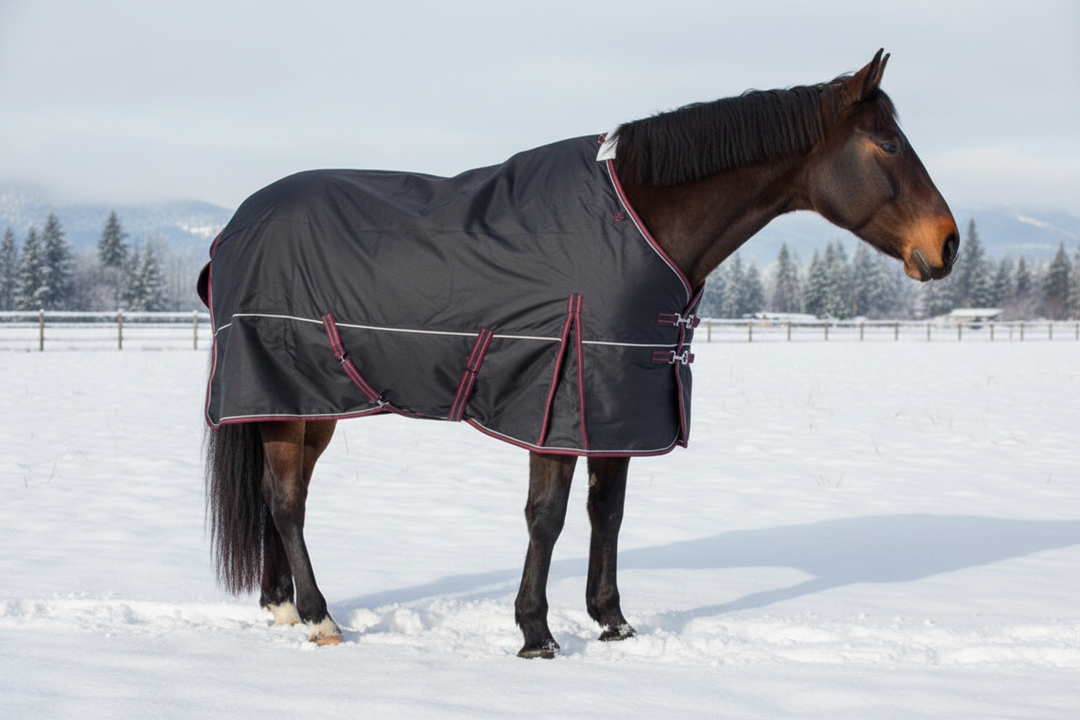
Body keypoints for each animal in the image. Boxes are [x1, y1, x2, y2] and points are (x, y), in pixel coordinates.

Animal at [199, 50, 958, 658]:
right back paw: (320, 619)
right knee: (287, 502)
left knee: (279, 498)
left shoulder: (620, 404)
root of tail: (234, 226)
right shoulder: (558, 400)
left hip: (310, 406)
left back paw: (283, 606)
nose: (947, 244)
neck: (640, 222)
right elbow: (548, 516)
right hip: (287, 396)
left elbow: (606, 514)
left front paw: (613, 623)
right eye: (889, 142)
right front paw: (536, 634)